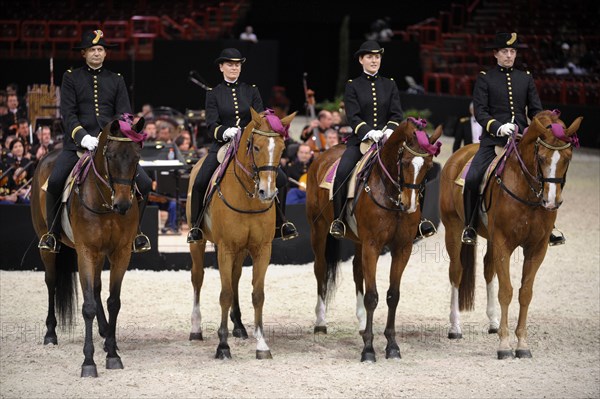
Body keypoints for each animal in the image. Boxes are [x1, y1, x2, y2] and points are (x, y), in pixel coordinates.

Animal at [30, 116, 146, 378]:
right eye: (110, 156)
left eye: (137, 157)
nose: (123, 204)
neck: (105, 201)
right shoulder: (85, 251)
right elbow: (88, 306)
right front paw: (89, 362)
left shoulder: (120, 253)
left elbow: (113, 301)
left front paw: (112, 353)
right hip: (47, 245)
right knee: (51, 282)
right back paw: (50, 334)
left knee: (96, 286)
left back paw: (104, 333)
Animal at [185, 108, 292, 360]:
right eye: (256, 147)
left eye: (282, 148)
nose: (267, 192)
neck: (248, 198)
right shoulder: (225, 248)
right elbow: (224, 294)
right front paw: (223, 346)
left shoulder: (262, 249)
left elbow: (257, 294)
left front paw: (261, 344)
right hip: (198, 243)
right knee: (198, 278)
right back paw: (196, 329)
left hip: (242, 250)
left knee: (234, 278)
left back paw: (240, 327)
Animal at [308, 118, 442, 362]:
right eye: (404, 162)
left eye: (428, 167)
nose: (409, 205)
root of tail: (323, 155)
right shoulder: (372, 246)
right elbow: (372, 296)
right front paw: (368, 350)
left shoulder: (402, 248)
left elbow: (393, 296)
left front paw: (392, 346)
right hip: (319, 229)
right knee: (320, 269)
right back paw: (321, 322)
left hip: (358, 240)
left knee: (357, 270)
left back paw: (362, 322)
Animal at [440, 109, 580, 360]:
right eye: (541, 158)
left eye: (568, 157)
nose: (551, 202)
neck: (528, 191)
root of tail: (462, 152)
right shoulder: (504, 243)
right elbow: (506, 291)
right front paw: (504, 345)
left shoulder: (536, 248)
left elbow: (525, 292)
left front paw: (522, 344)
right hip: (453, 228)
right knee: (456, 272)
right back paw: (455, 327)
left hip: (489, 238)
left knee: (488, 269)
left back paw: (493, 323)